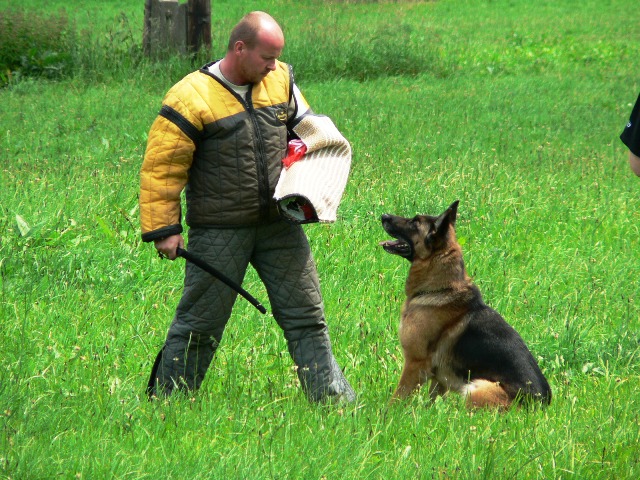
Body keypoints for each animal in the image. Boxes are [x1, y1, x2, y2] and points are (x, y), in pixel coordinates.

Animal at [380, 201, 552, 406]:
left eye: (414, 222)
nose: (383, 215)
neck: (440, 288)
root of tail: (541, 405)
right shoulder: (439, 379)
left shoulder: (415, 364)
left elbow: (397, 398)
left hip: (476, 388)